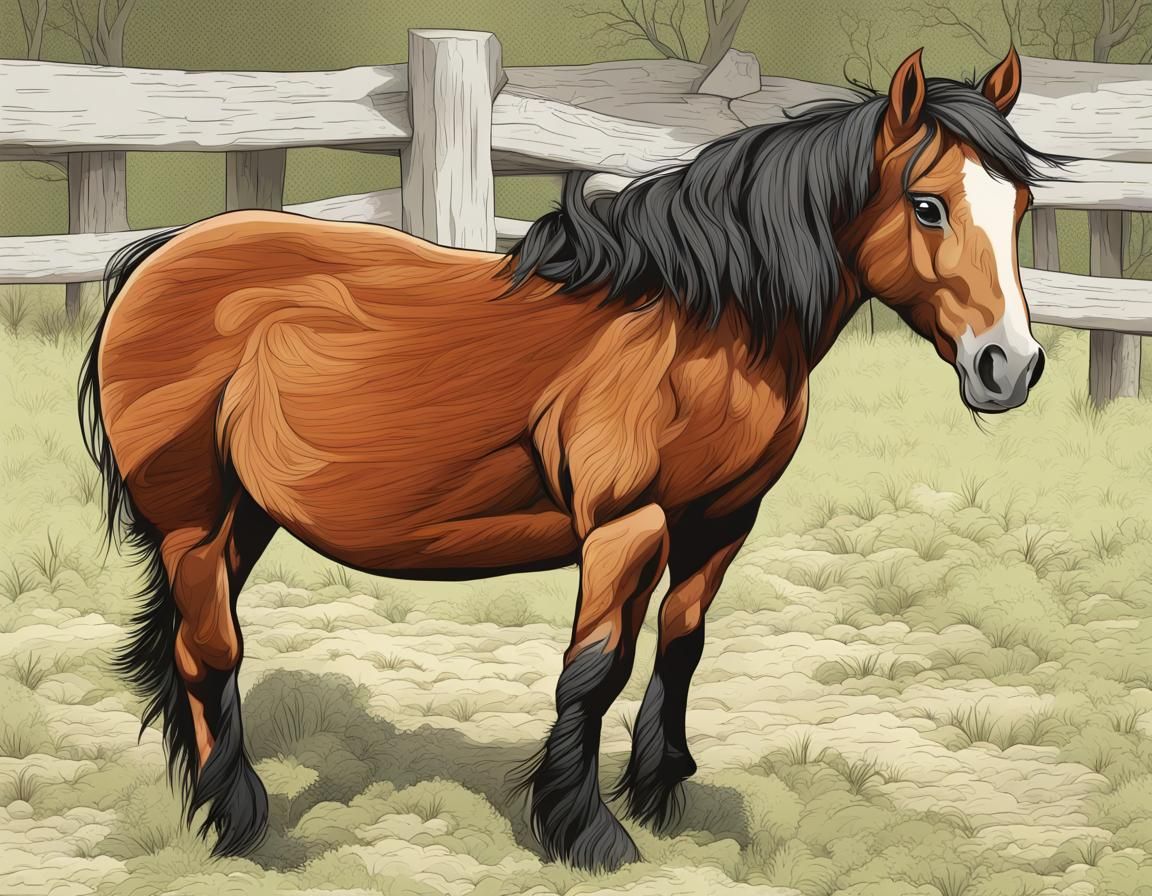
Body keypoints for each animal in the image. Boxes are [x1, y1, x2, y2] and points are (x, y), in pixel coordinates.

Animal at [79, 45, 1059, 873]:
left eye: (1019, 207)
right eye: (928, 204)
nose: (1008, 367)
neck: (697, 322)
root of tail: (159, 254)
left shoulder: (721, 522)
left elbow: (682, 645)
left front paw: (661, 795)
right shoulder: (627, 526)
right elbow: (595, 669)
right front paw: (587, 832)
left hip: (244, 520)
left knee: (193, 645)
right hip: (193, 520)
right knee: (211, 649)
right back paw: (241, 824)